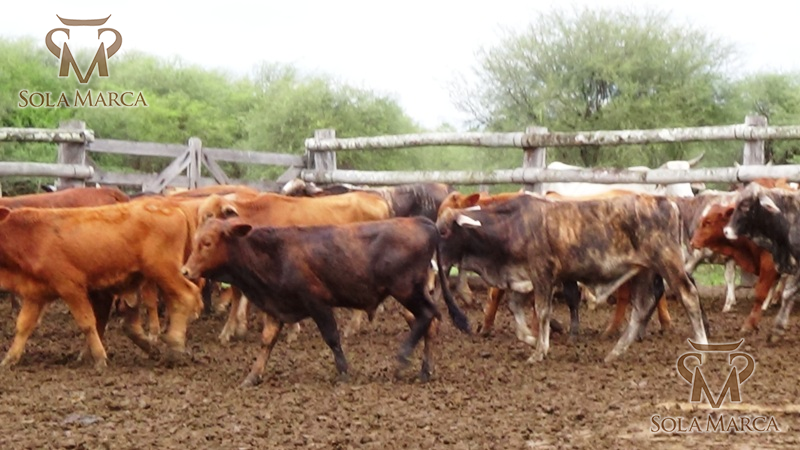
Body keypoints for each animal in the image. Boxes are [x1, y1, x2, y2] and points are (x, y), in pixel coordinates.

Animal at [0, 200, 202, 369]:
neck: (33, 235)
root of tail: (172, 207)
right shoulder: (35, 295)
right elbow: (23, 326)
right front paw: (9, 359)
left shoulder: (71, 289)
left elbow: (87, 323)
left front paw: (99, 358)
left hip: (164, 271)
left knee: (186, 295)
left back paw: (175, 346)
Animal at [180, 217, 471, 386]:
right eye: (195, 240)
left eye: (207, 242)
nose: (185, 271)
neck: (274, 253)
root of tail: (422, 222)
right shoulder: (276, 306)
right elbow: (267, 341)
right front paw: (252, 376)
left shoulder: (317, 302)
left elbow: (331, 337)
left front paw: (343, 372)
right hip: (411, 293)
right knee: (429, 323)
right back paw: (424, 370)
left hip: (407, 290)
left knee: (429, 315)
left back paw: (402, 358)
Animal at [436, 194, 708, 363]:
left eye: (445, 231)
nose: (434, 261)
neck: (513, 224)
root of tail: (666, 202)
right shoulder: (522, 278)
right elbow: (515, 308)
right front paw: (531, 338)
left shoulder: (542, 274)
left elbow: (542, 311)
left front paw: (539, 350)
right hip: (644, 271)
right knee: (641, 307)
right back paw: (615, 353)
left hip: (668, 263)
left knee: (688, 296)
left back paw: (703, 349)